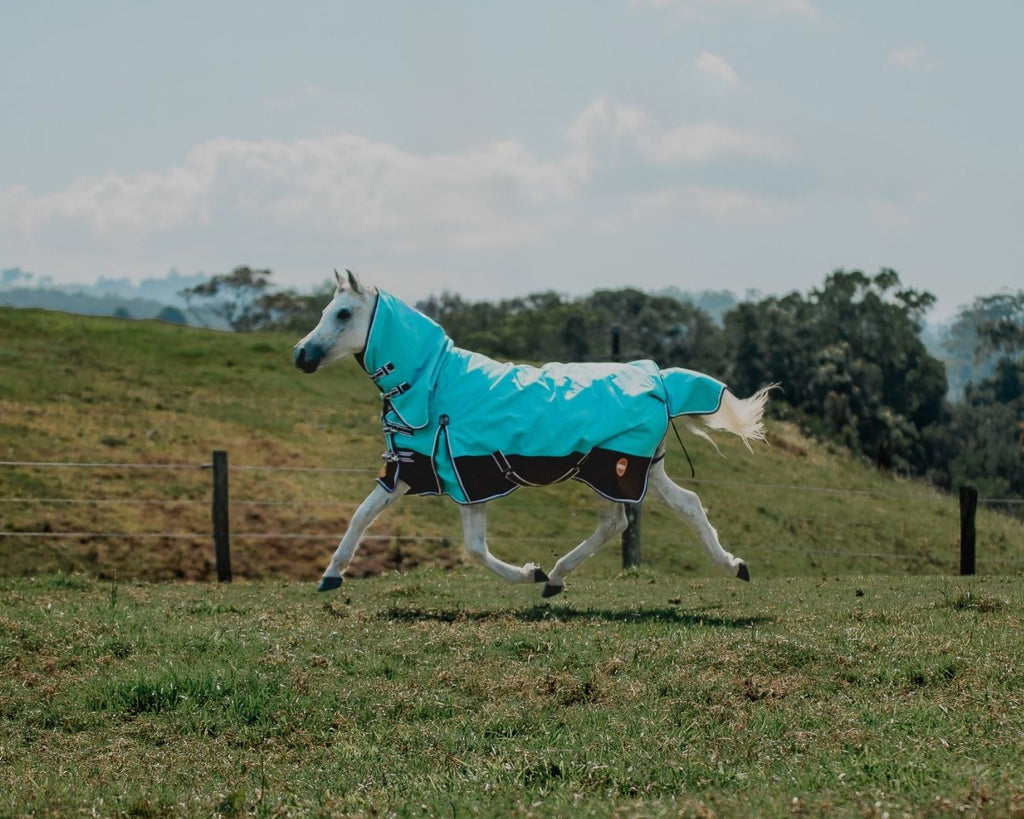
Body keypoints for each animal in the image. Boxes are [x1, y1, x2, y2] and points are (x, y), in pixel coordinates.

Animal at [294, 270, 772, 597]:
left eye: (343, 313)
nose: (301, 355)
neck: (434, 386)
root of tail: (657, 377)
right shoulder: (426, 473)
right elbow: (367, 516)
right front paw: (330, 576)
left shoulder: (463, 476)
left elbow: (472, 548)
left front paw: (529, 573)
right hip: (638, 471)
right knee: (679, 507)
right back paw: (733, 566)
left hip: (611, 471)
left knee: (620, 521)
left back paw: (555, 576)